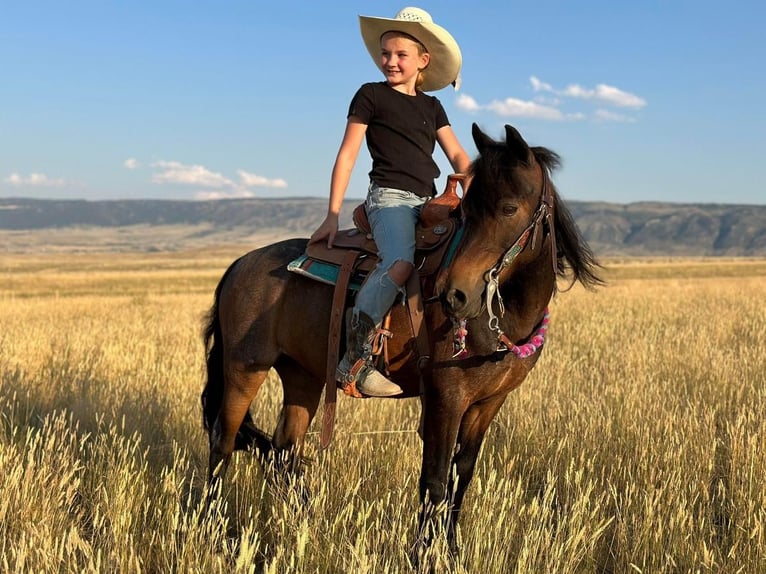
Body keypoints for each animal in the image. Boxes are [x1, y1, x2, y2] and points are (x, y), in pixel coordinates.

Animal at [202, 125, 608, 548]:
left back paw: (308, 523)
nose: (454, 295)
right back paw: (212, 528)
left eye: (509, 208)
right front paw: (423, 552)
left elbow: (461, 476)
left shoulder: (488, 402)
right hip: (244, 369)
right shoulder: (446, 397)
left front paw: (451, 548)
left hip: (303, 375)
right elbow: (435, 480)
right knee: (222, 441)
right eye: (469, 211)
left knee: (283, 450)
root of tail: (239, 264)